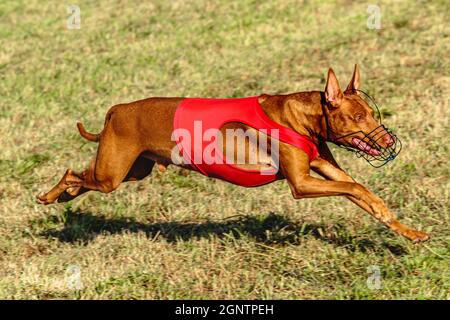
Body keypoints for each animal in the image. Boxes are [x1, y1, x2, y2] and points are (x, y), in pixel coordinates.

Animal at [37, 64, 430, 242]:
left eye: (372, 113)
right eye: (359, 117)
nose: (389, 142)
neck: (301, 117)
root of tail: (116, 110)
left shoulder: (327, 169)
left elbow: (363, 193)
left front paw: (407, 231)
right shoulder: (301, 183)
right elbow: (354, 188)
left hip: (134, 170)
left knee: (82, 179)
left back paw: (64, 197)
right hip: (112, 174)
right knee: (72, 174)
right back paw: (50, 196)